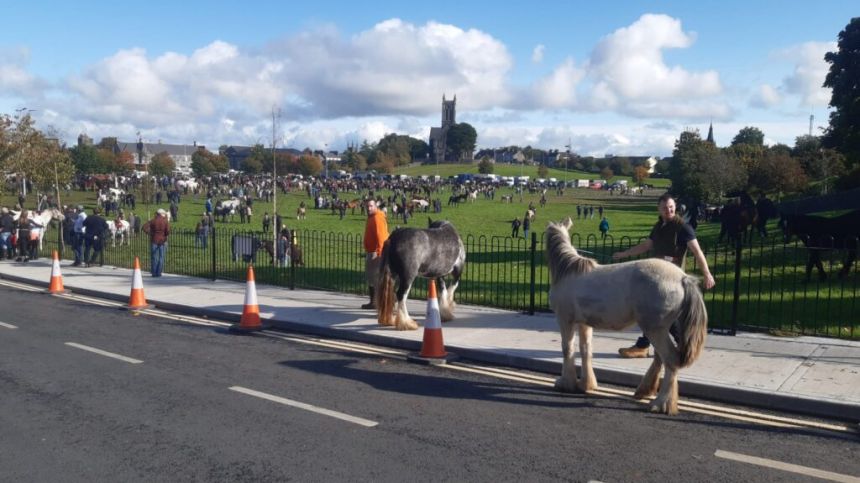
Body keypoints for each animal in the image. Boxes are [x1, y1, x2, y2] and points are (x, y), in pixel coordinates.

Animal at [548, 219, 708, 416]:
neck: (569, 271)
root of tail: (683, 278)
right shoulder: (585, 324)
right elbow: (585, 350)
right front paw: (586, 385)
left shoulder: (565, 320)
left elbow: (567, 349)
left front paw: (565, 382)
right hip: (660, 329)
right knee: (660, 358)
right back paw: (647, 391)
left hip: (654, 329)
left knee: (670, 359)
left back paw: (660, 403)